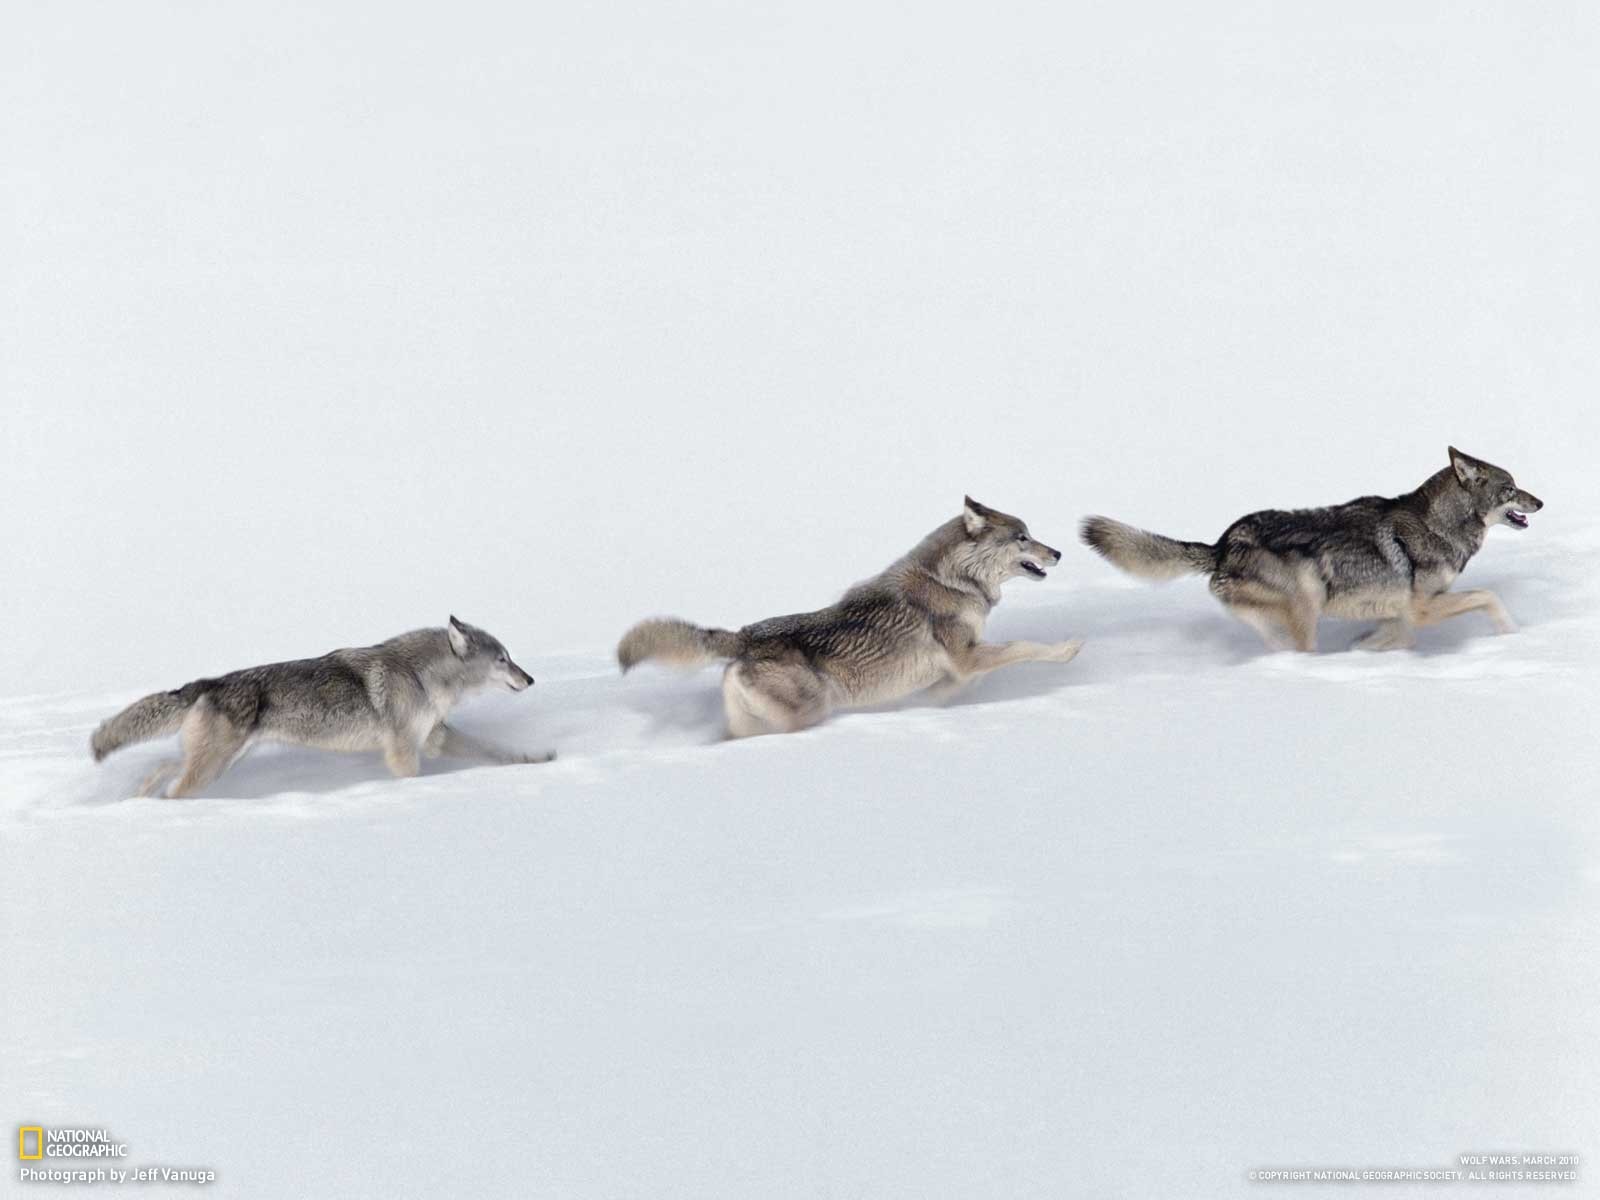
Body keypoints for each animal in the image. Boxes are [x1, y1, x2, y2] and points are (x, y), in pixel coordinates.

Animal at [90, 616, 551, 797]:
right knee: (173, 787)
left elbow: (496, 752)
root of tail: (204, 684)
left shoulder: (434, 737)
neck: (422, 675)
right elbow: (413, 777)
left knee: (162, 769)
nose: (530, 679)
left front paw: (536, 760)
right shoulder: (404, 751)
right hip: (211, 769)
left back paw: (141, 799)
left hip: (219, 763)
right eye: (503, 659)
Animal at [617, 497, 1083, 737]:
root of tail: (743, 636)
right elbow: (1023, 647)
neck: (954, 581)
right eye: (1022, 537)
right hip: (810, 712)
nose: (1059, 552)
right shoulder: (967, 657)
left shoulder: (960, 666)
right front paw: (1067, 650)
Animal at [1081, 446, 1542, 652]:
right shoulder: (1422, 608)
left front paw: (1367, 650)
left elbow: (1390, 635)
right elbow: (1489, 596)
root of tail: (1221, 545)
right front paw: (1513, 634)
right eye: (1511, 489)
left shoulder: (1402, 612)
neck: (1439, 525)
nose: (1540, 502)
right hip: (1307, 602)